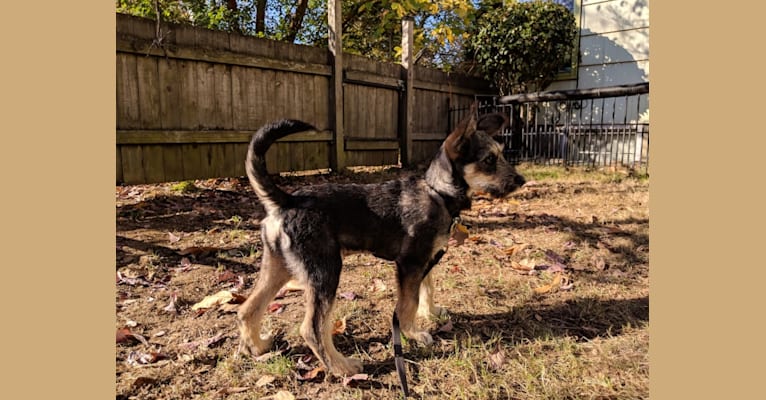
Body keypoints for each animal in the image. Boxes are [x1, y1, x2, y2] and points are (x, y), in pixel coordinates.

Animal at [238, 109, 528, 376]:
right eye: (489, 159)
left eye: (501, 154)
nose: (522, 181)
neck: (438, 192)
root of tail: (287, 200)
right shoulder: (410, 264)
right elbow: (407, 304)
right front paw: (414, 334)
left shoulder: (426, 261)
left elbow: (427, 290)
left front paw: (431, 313)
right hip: (325, 272)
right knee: (312, 328)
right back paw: (342, 367)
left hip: (279, 267)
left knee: (247, 309)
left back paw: (258, 346)